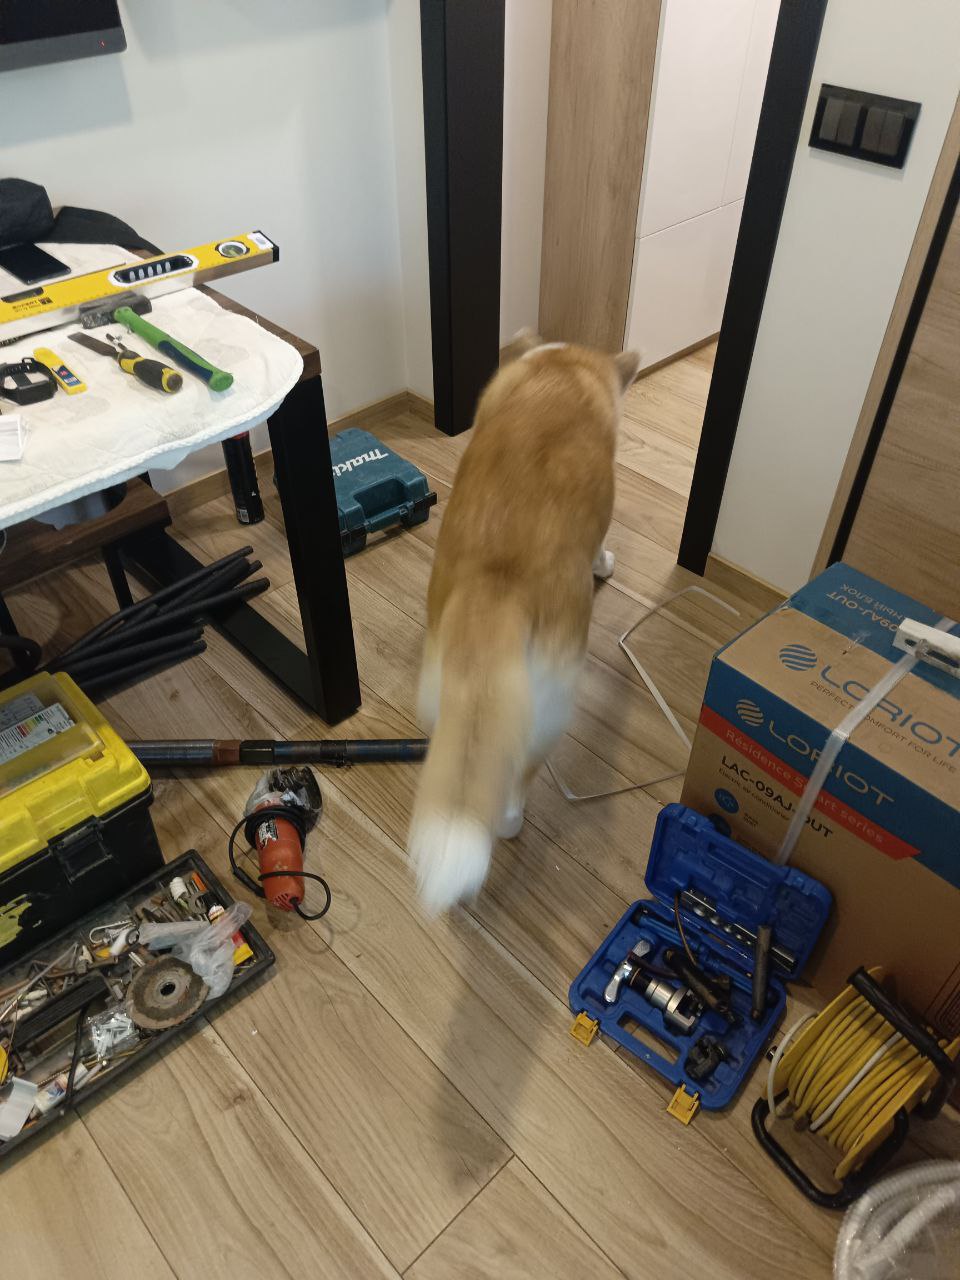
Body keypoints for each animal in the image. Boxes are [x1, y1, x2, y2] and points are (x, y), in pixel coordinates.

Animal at [408, 332, 641, 912]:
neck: (560, 368)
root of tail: (497, 589)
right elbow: (601, 546)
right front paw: (605, 565)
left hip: (439, 686)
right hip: (551, 709)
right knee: (517, 778)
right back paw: (511, 822)